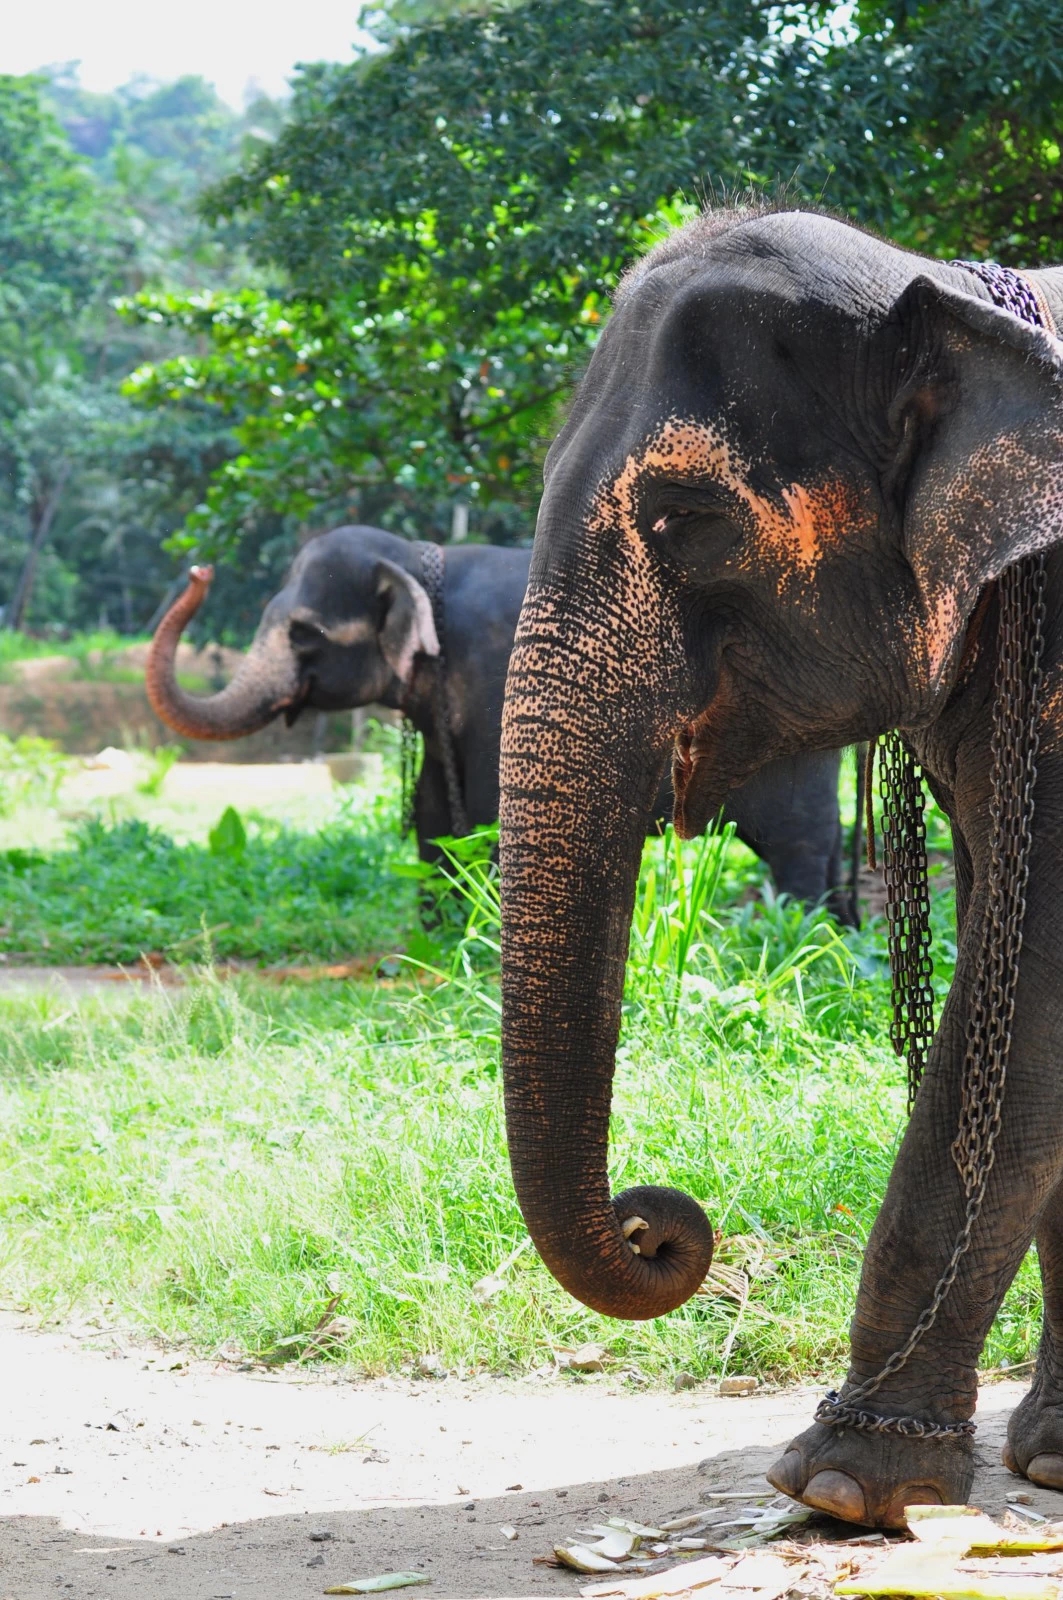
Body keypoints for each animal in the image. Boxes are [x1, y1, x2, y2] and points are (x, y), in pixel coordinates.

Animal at [143, 521, 858, 908]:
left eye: (304, 635)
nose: (198, 569)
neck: (416, 556)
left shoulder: (497, 682)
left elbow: (491, 822)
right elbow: (434, 825)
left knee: (796, 847)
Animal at [499, 206, 1063, 1529]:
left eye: (689, 519)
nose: (657, 1224)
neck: (947, 289)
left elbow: (1025, 1000)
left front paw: (848, 1487)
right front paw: (1047, 1461)